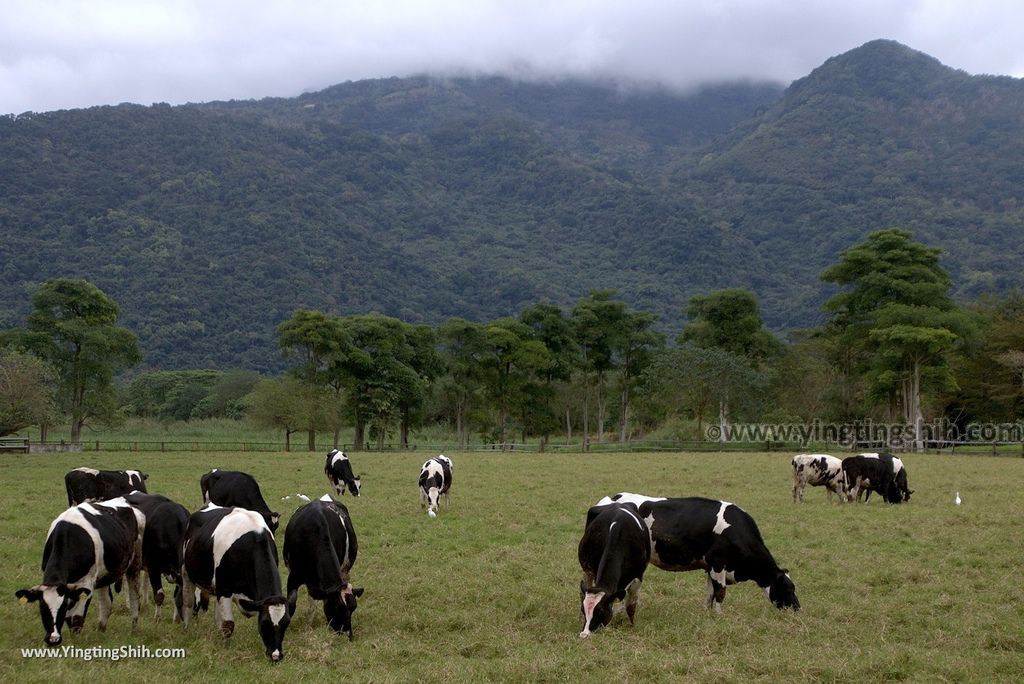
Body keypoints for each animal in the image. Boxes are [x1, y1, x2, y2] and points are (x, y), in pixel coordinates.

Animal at [16, 497, 144, 647]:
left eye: (62, 608)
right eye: (43, 608)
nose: (53, 639)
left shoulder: (86, 584)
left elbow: (76, 618)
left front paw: (75, 641)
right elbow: (69, 617)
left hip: (135, 563)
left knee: (135, 596)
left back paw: (134, 628)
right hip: (103, 575)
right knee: (106, 602)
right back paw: (101, 630)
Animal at [180, 505, 290, 659]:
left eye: (286, 623)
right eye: (264, 623)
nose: (276, 655)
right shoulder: (225, 589)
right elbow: (229, 624)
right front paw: (226, 648)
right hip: (186, 573)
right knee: (188, 602)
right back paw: (186, 627)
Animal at [577, 499, 647, 638]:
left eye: (600, 611)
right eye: (583, 610)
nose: (584, 634)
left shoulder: (637, 577)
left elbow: (631, 605)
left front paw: (632, 626)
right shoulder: (591, 569)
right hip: (587, 570)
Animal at [593, 493, 798, 610]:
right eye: (789, 589)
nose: (797, 608)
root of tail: (614, 497)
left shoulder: (710, 567)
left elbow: (710, 594)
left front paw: (707, 614)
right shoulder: (718, 564)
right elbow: (720, 593)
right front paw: (720, 617)